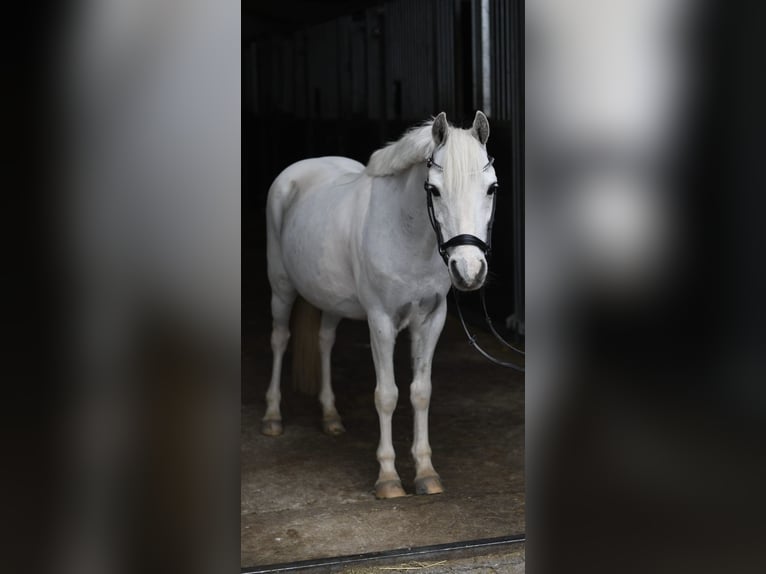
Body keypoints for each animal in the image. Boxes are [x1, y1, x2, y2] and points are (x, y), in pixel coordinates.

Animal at [262, 111, 498, 499]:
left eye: (491, 187)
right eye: (434, 189)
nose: (469, 271)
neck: (407, 235)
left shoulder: (431, 320)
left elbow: (421, 392)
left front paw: (426, 473)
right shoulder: (381, 321)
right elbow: (387, 395)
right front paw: (388, 479)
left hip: (332, 299)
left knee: (324, 341)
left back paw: (330, 417)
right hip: (281, 288)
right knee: (280, 339)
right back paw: (272, 417)